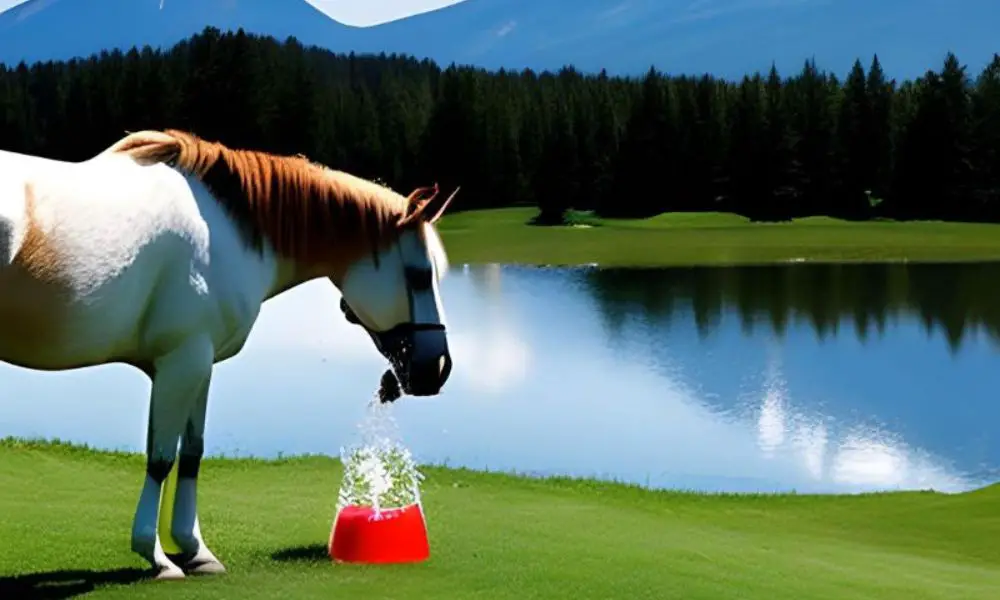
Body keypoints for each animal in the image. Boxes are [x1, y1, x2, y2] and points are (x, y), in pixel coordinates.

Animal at [0, 129, 459, 579]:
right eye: (419, 275)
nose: (436, 368)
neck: (225, 229)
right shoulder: (182, 361)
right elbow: (161, 458)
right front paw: (156, 556)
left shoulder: (199, 365)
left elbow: (192, 453)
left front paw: (195, 550)